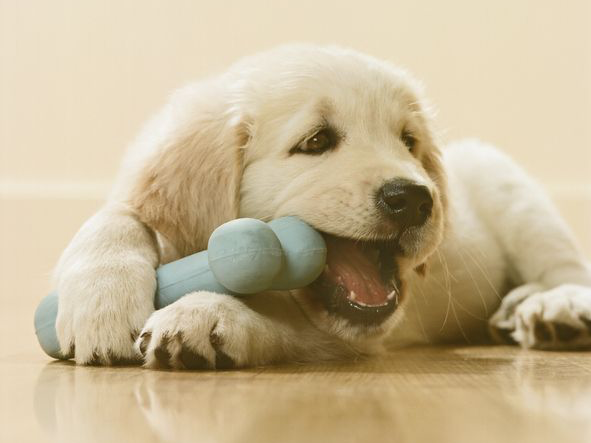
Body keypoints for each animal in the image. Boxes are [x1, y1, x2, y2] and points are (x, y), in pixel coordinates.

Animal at [53, 46, 591, 372]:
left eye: (409, 142)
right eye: (316, 141)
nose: (415, 198)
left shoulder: (353, 339)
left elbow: (283, 327)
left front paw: (205, 313)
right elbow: (117, 214)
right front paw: (101, 301)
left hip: (509, 188)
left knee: (566, 267)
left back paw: (554, 307)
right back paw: (515, 310)